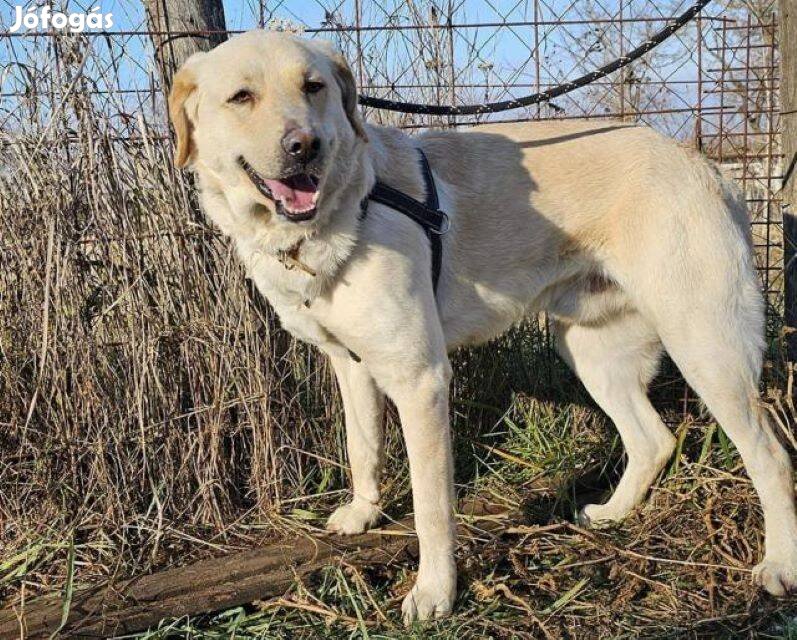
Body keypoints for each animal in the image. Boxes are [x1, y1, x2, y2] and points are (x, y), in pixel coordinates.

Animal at [168, 28, 796, 620]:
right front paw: (364, 513)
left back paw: (780, 565)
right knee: (653, 440)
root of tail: (708, 167)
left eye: (313, 87)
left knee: (772, 456)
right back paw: (613, 514)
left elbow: (431, 508)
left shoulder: (420, 379)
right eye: (242, 97)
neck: (344, 210)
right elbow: (362, 446)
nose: (306, 147)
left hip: (706, 347)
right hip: (590, 351)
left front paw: (434, 591)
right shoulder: (352, 365)